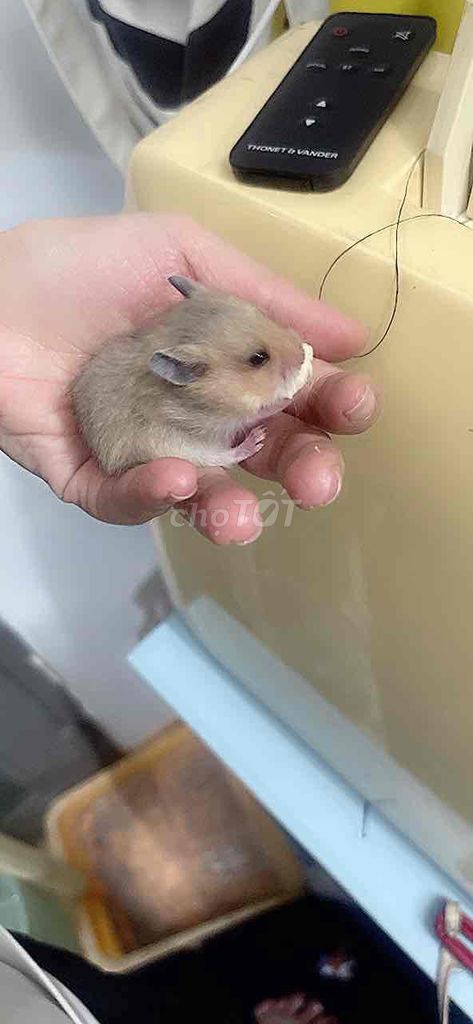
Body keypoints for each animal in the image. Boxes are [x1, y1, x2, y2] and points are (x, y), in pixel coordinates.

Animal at [71, 275, 313, 474]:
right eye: (258, 358)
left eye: (261, 313)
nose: (302, 353)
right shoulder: (217, 418)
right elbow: (258, 411)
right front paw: (285, 400)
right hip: (175, 447)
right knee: (223, 457)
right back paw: (256, 439)